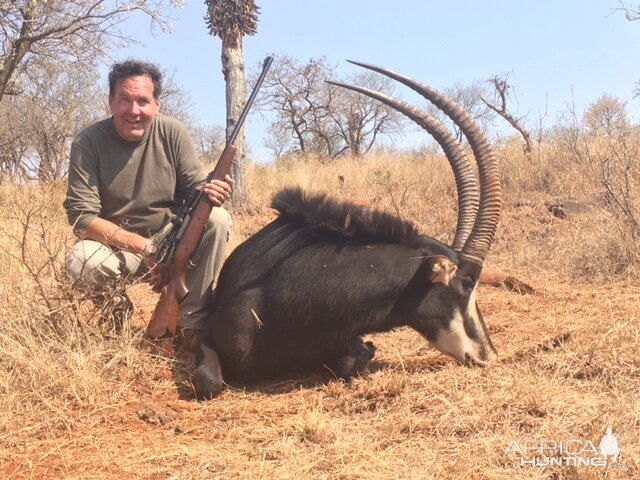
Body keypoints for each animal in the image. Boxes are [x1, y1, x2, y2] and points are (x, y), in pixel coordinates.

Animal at [192, 61, 502, 398]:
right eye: (467, 283)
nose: (488, 355)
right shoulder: (205, 334)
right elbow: (207, 382)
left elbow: (352, 359)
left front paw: (367, 350)